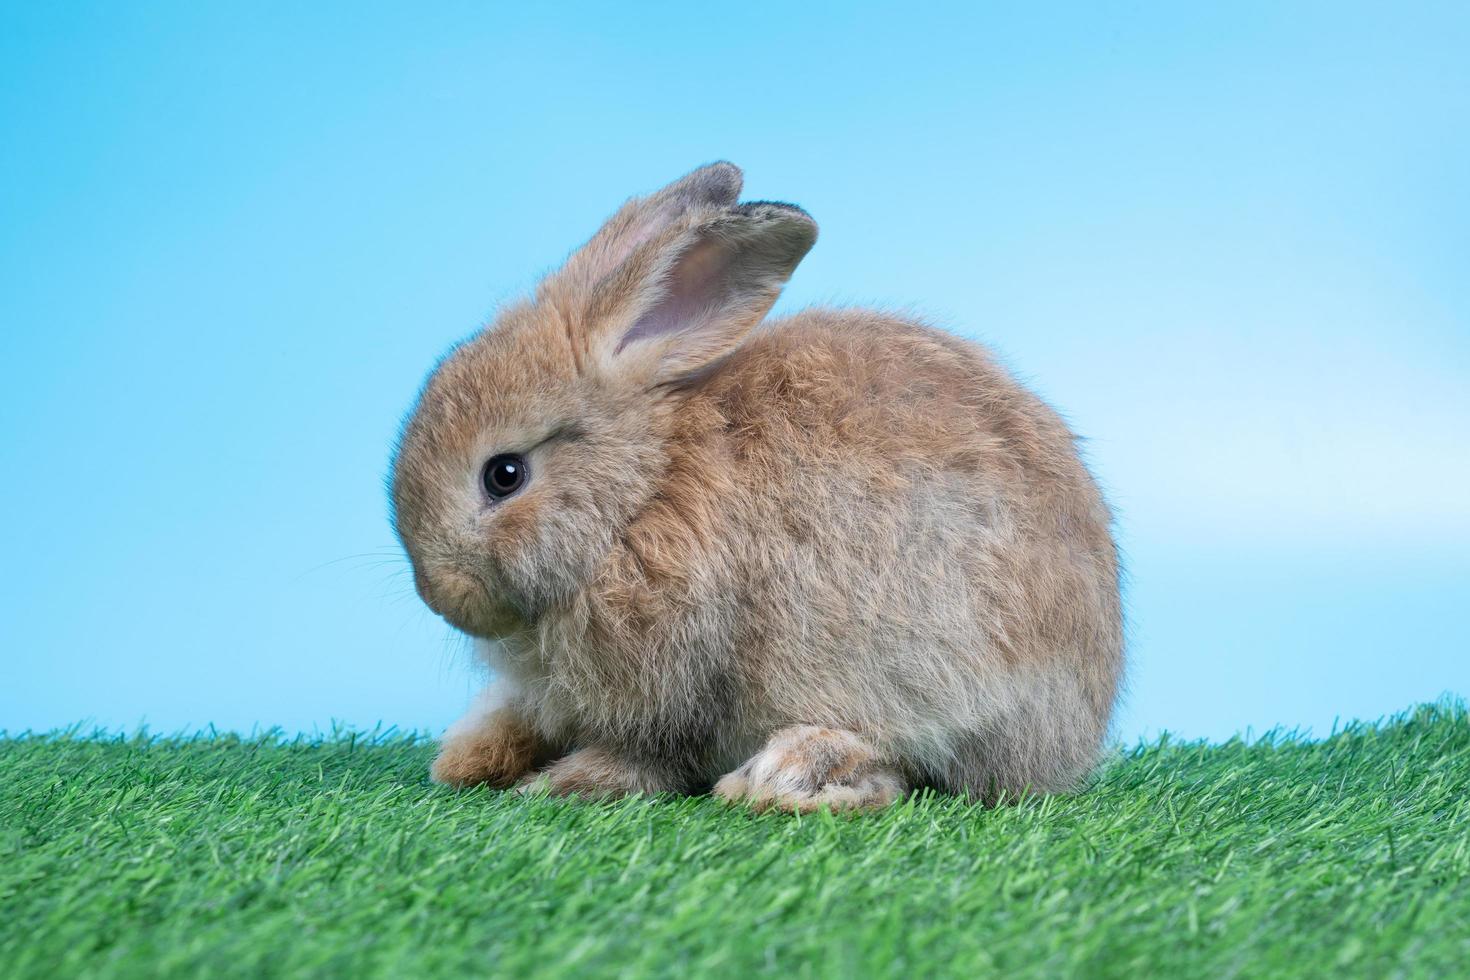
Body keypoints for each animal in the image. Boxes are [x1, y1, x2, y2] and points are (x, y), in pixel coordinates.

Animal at [391, 163, 1123, 811]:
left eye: (504, 475)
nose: (439, 596)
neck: (637, 497)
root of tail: (1079, 727)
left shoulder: (683, 681)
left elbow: (652, 757)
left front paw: (563, 781)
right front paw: (468, 758)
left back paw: (787, 777)